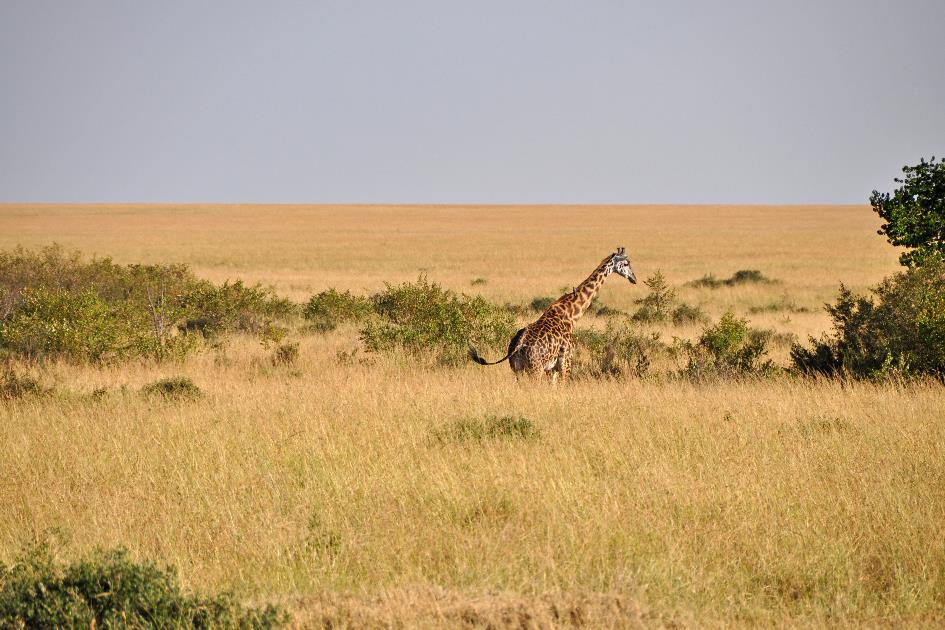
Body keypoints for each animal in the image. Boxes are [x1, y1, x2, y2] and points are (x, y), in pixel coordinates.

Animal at [470, 249, 636, 382]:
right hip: (535, 370)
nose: (634, 278)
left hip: (518, 370)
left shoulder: (552, 369)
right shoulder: (566, 363)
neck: (571, 314)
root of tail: (517, 345)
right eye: (626, 263)